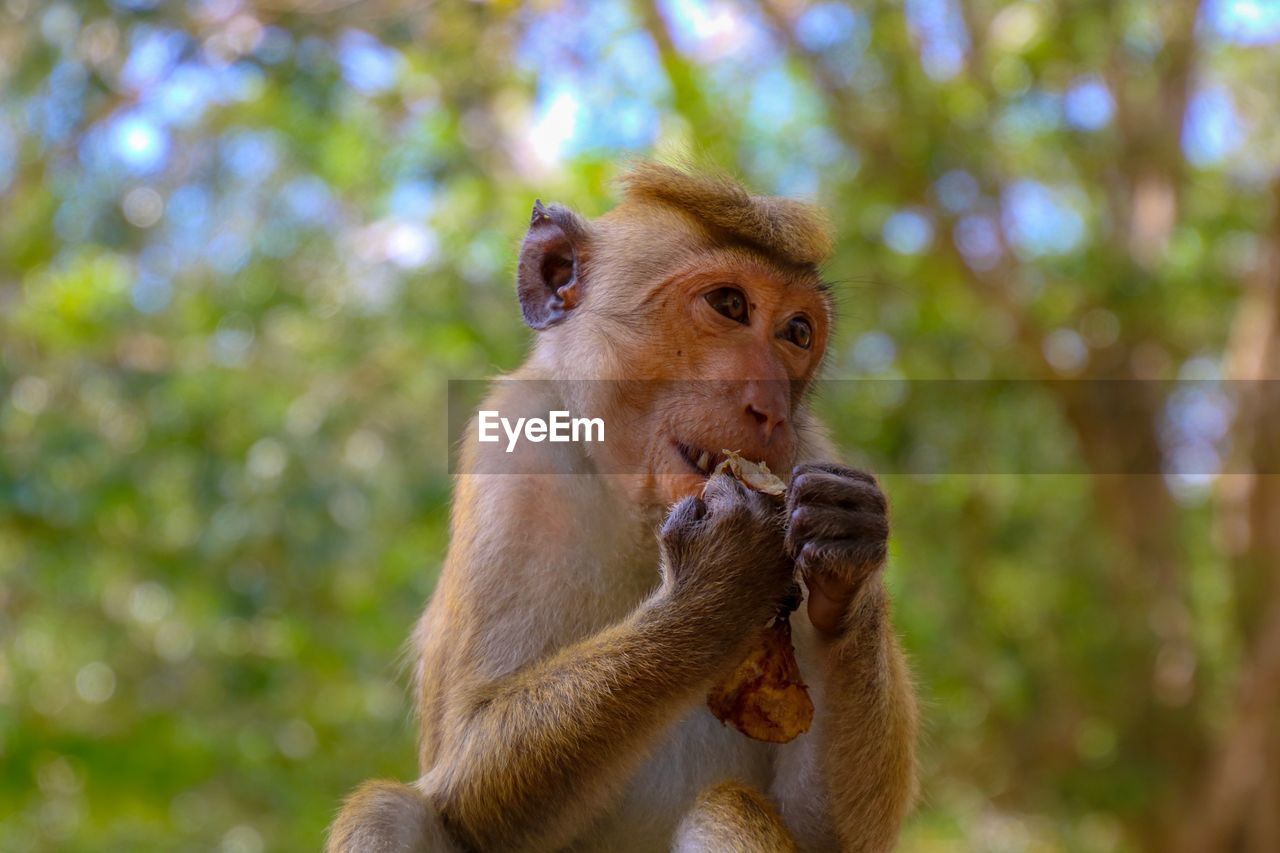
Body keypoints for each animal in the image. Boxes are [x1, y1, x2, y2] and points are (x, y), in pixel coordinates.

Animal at [325, 162, 916, 845]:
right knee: (385, 806)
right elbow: (469, 786)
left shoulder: (807, 452)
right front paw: (720, 584)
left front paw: (847, 548)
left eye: (797, 333)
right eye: (730, 305)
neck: (644, 517)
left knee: (727, 805)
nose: (769, 408)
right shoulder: (513, 452)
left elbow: (826, 836)